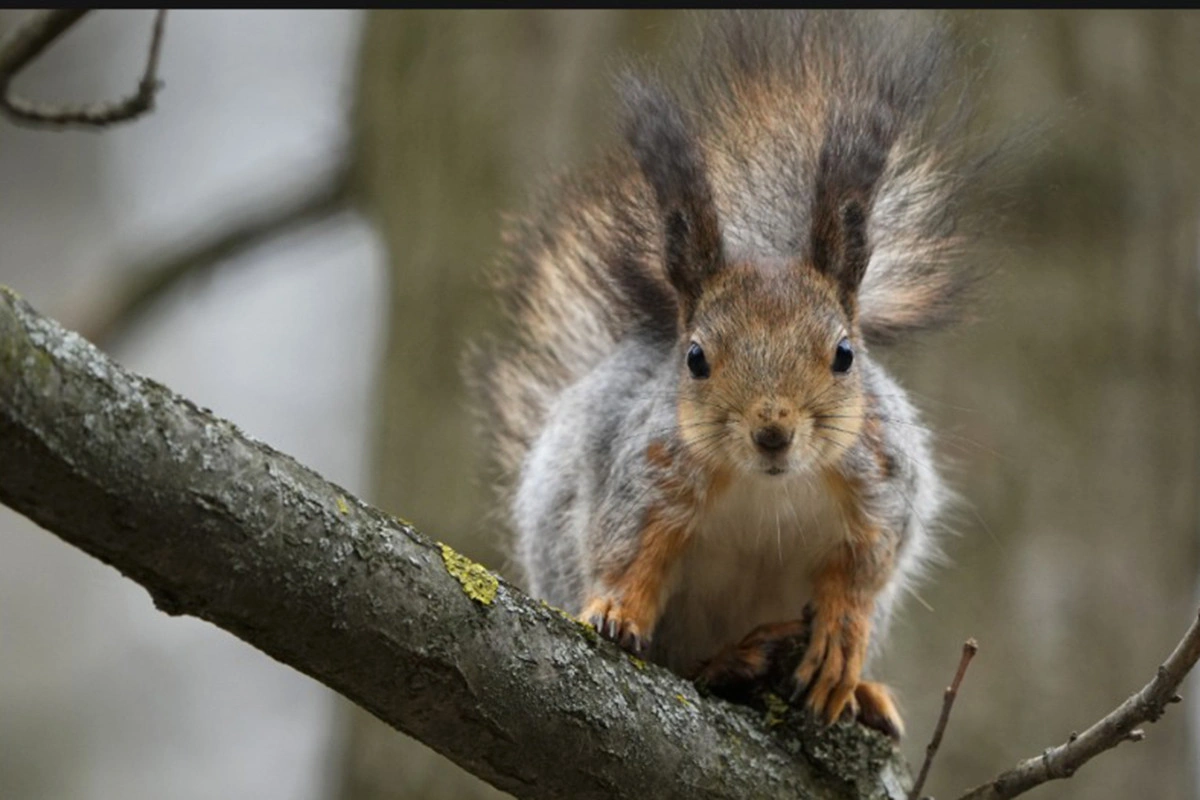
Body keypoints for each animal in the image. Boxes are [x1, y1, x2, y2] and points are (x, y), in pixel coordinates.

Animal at [468, 9, 984, 743]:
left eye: (845, 354)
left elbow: (865, 568)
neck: (765, 486)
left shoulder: (882, 482)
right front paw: (619, 610)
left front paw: (843, 638)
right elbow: (629, 549)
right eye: (695, 358)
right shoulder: (650, 473)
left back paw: (855, 690)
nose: (773, 431)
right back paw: (735, 658)